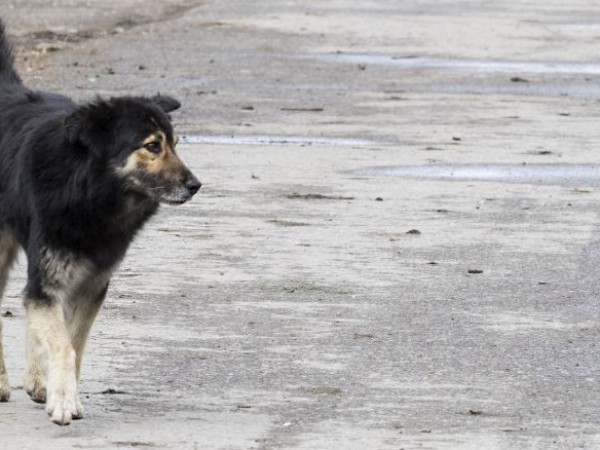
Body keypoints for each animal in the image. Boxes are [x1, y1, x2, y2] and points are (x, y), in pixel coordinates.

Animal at [0, 20, 202, 426]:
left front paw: (63, 393)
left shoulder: (90, 285)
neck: (89, 194)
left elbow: (73, 342)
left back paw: (36, 380)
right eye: (152, 146)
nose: (195, 185)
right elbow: (62, 344)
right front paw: (63, 401)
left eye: (175, 143)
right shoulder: (51, 279)